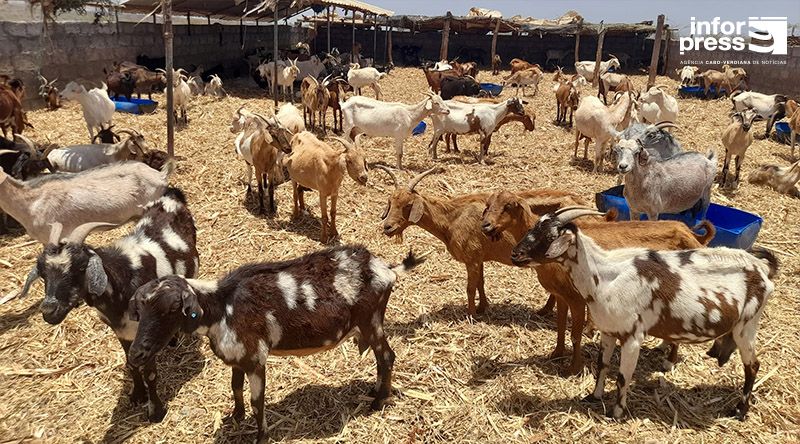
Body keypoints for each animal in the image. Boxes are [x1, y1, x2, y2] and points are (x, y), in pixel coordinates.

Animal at [28, 188, 198, 424]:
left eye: (81, 267)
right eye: (42, 273)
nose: (49, 311)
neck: (124, 280)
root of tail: (170, 196)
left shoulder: (143, 333)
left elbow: (150, 373)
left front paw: (155, 411)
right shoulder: (121, 332)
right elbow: (131, 364)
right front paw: (137, 395)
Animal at [126, 245, 424, 442]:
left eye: (172, 309)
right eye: (139, 310)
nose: (136, 354)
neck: (222, 306)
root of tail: (386, 269)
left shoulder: (256, 358)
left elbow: (258, 401)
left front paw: (260, 436)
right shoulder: (239, 357)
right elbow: (235, 387)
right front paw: (236, 416)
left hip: (371, 321)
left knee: (387, 356)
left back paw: (378, 401)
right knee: (381, 358)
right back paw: (375, 391)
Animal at [478, 191, 716, 374]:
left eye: (508, 206)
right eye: (488, 205)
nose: (515, 254)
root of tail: (692, 236)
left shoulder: (577, 299)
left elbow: (575, 334)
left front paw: (573, 369)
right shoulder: (563, 296)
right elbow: (560, 327)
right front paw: (556, 354)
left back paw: (669, 362)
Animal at [510, 206, 780, 422]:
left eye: (550, 235)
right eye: (533, 226)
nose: (515, 254)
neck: (606, 276)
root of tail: (762, 269)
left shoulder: (632, 337)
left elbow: (622, 376)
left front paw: (617, 413)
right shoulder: (609, 331)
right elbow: (602, 365)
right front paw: (593, 396)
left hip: (747, 326)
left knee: (753, 365)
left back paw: (740, 411)